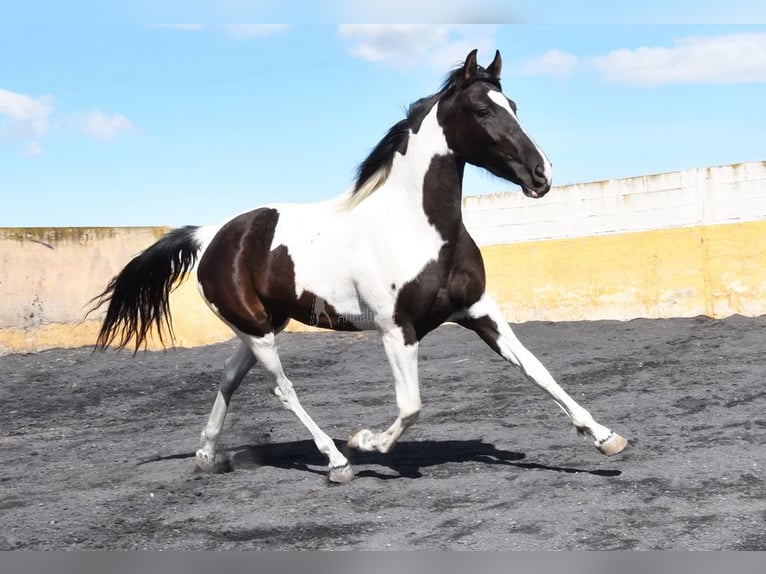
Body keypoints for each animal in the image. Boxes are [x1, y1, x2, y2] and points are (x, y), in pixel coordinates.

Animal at [91, 50, 628, 483]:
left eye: (514, 106)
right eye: (481, 110)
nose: (542, 174)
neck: (417, 227)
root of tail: (211, 234)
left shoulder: (479, 311)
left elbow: (539, 371)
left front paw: (606, 438)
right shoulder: (396, 329)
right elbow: (410, 406)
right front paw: (365, 441)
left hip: (263, 325)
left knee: (229, 378)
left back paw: (207, 456)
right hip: (257, 331)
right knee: (281, 389)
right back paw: (337, 461)